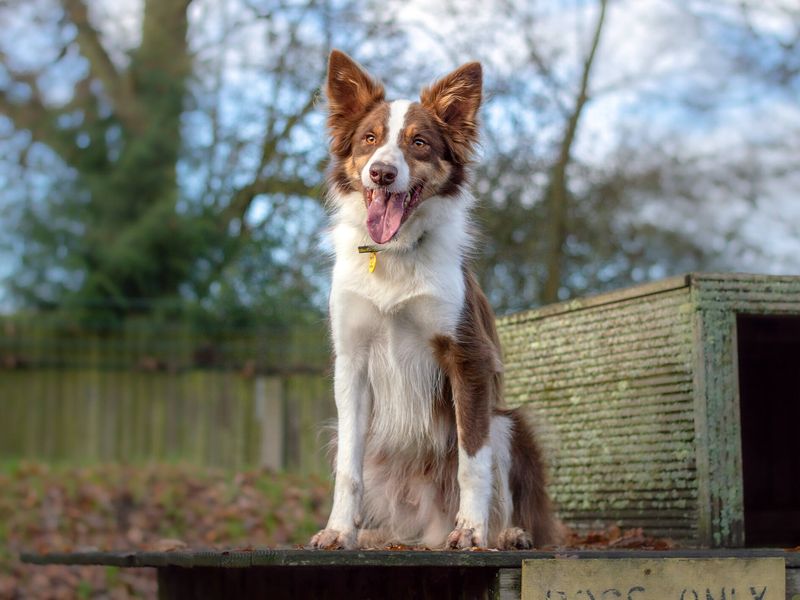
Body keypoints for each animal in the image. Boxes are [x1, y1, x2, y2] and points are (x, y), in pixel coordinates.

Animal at [310, 50, 560, 548]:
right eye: (369, 139)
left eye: (420, 143)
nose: (382, 173)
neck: (394, 254)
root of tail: (430, 528)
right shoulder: (352, 360)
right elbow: (348, 470)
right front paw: (340, 531)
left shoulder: (468, 356)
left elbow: (472, 463)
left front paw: (472, 532)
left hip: (508, 424)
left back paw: (505, 533)